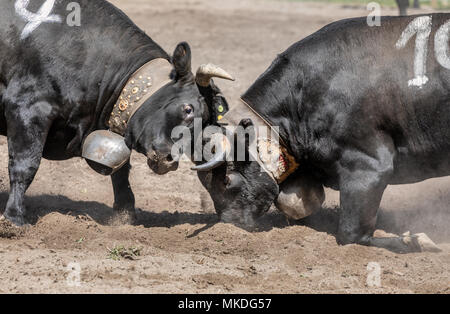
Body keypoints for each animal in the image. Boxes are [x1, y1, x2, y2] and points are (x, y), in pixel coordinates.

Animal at [0, 0, 232, 226]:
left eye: (206, 124)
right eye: (188, 109)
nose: (169, 161)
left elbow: (121, 172)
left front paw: (125, 215)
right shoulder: (28, 108)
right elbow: (25, 165)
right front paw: (15, 218)